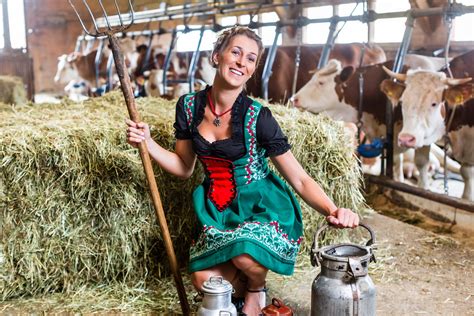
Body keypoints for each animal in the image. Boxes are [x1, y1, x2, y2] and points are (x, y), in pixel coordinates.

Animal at [384, 51, 474, 200]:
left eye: (434, 103)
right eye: (402, 101)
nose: (405, 139)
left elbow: (467, 172)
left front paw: (467, 198)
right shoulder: (423, 136)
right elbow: (421, 163)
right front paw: (423, 188)